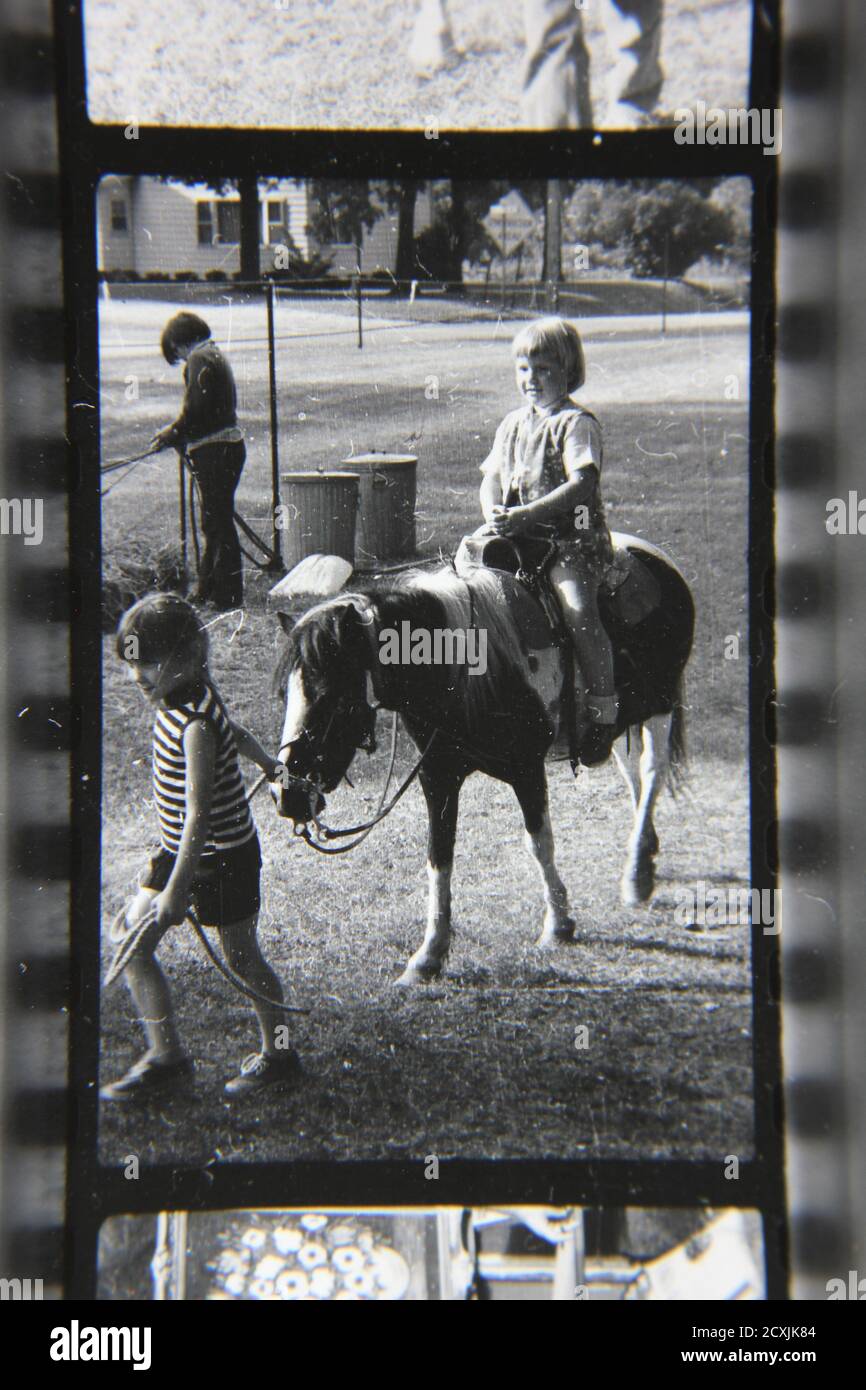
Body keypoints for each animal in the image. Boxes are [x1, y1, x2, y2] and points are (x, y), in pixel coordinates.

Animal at [273, 530, 695, 989]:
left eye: (332, 697)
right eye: (286, 694)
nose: (286, 795)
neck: (463, 670)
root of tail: (654, 556)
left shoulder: (527, 771)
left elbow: (539, 843)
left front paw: (559, 923)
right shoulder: (438, 777)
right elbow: (439, 856)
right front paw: (429, 955)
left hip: (661, 704)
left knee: (652, 774)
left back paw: (637, 876)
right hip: (620, 722)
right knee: (633, 777)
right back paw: (645, 853)